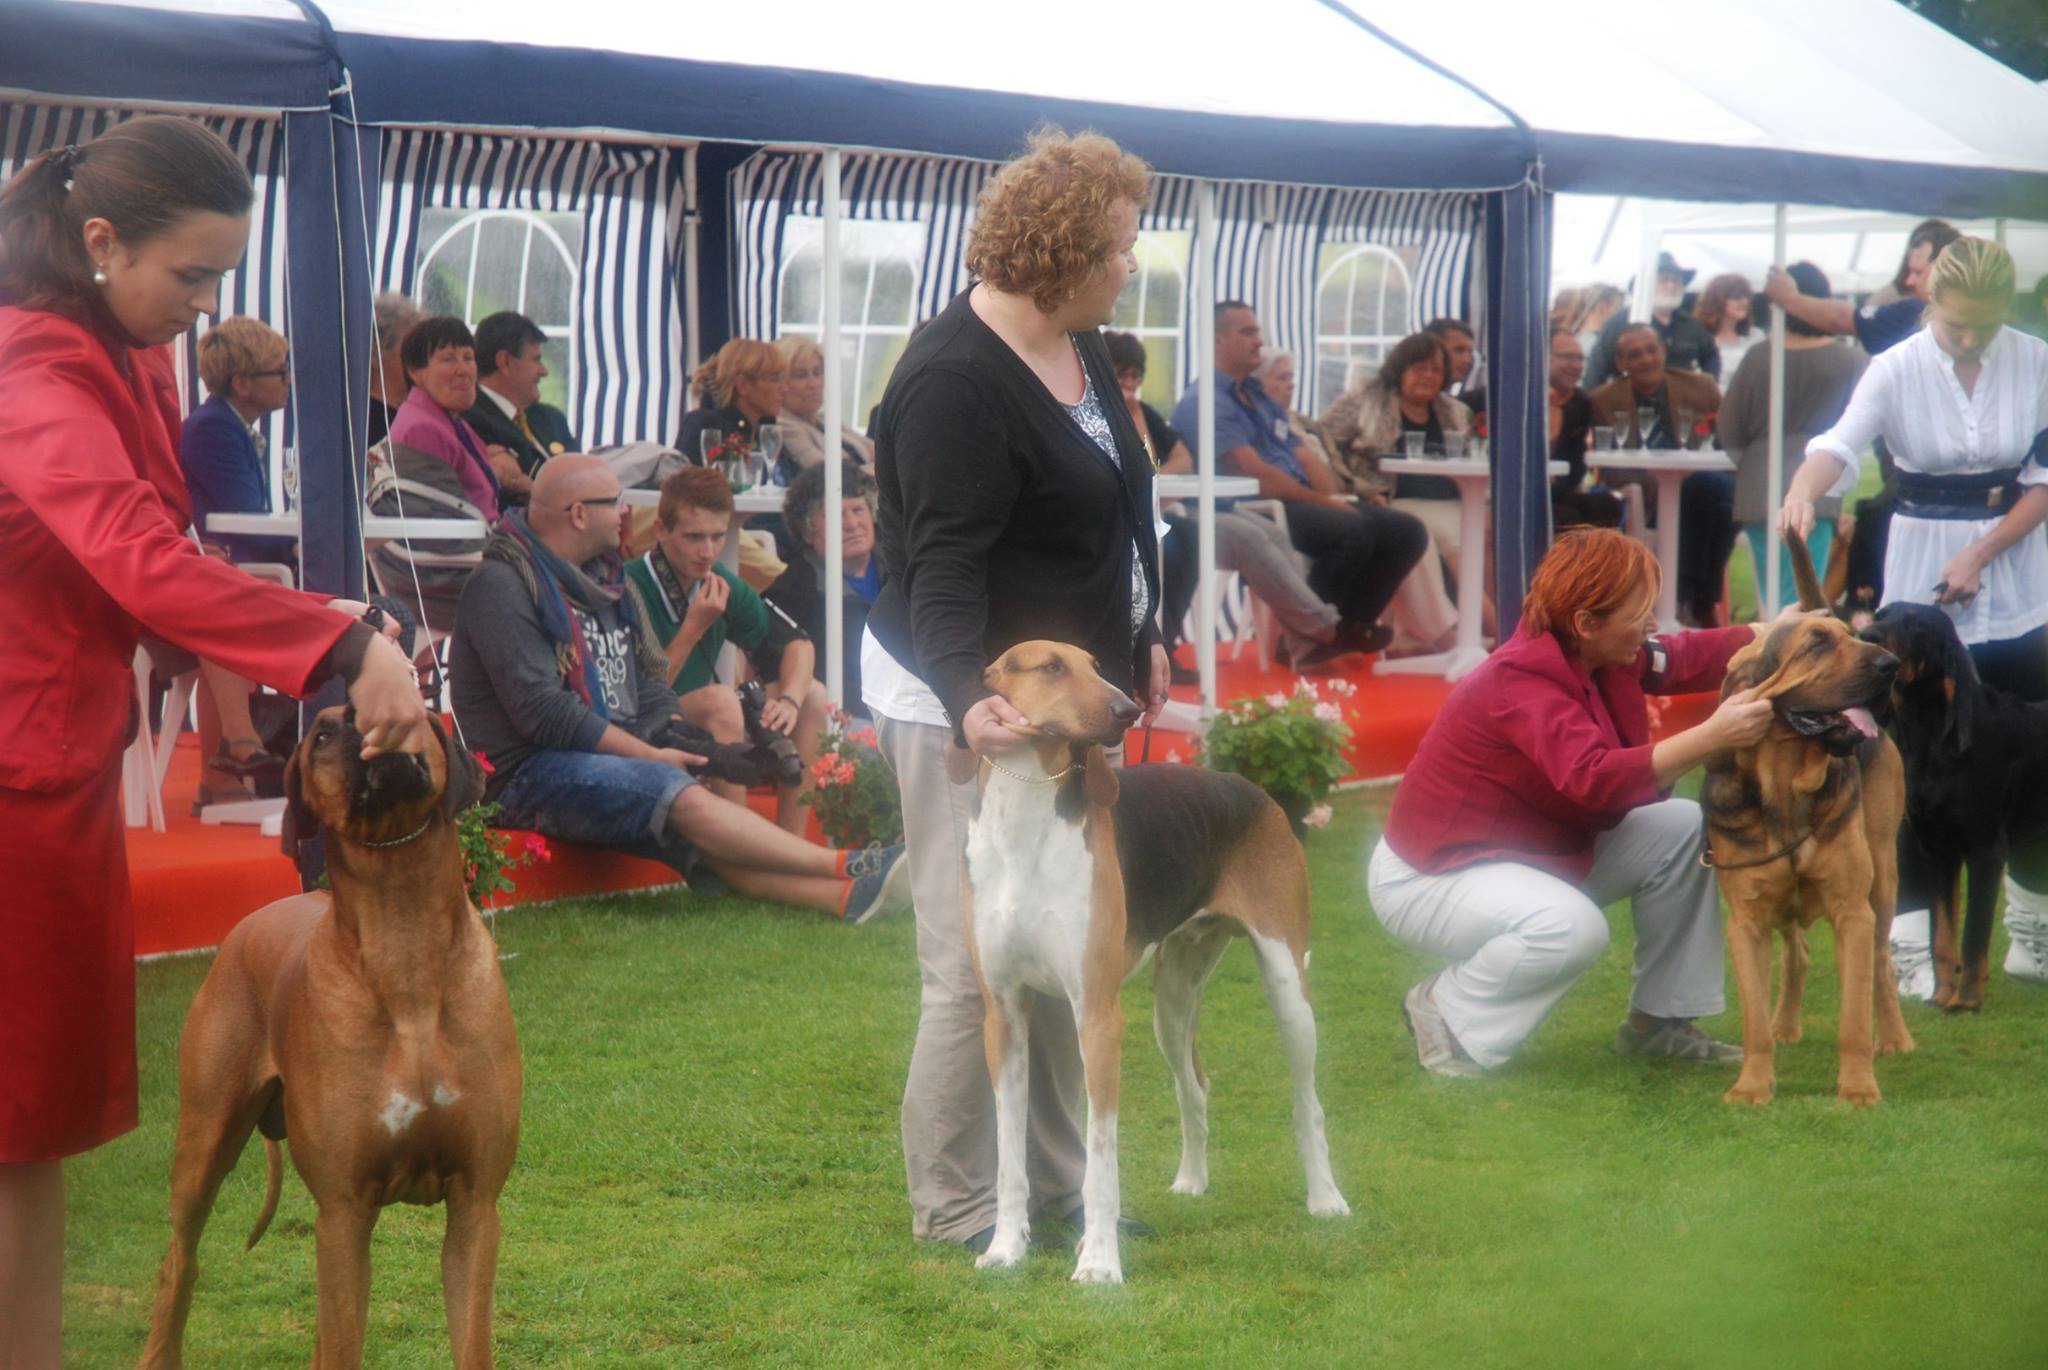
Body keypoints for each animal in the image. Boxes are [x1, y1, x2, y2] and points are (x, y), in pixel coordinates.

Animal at [138, 712, 520, 1359]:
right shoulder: (342, 1215)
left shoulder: (476, 1204)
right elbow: (341, 1343)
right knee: (178, 1261)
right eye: (319, 734)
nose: (370, 724)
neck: (404, 941)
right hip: (204, 1140)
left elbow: (471, 1341)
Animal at [954, 643, 1343, 1286]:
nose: (1128, 709)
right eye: (1051, 666)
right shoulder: (1003, 1017)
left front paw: (1099, 1264)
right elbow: (1009, 1155)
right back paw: (1192, 1180)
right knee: (1196, 1087)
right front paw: (1007, 1248)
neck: (1027, 813)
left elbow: (1100, 1158)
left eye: (1094, 663)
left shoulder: (1098, 1019)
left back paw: (1327, 1200)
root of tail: (1252, 788)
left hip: (1288, 987)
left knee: (1307, 1102)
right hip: (1173, 1002)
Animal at [1703, 540, 1908, 1105]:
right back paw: (1785, 1026)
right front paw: (1752, 1087)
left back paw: (1895, 1038)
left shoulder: (1853, 912)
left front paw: (1857, 1090)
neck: (1785, 788)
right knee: (1797, 952)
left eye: (1851, 637)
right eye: (1815, 644)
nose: (1890, 663)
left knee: (1881, 964)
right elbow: (1751, 1019)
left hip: (1883, 880)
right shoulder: (1745, 921)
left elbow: (1853, 1018)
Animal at [1859, 597, 2048, 1003]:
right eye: (1881, 614)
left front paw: (1967, 1001)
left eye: (1917, 625)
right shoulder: (1938, 850)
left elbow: (1973, 938)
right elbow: (1942, 937)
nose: (1866, 635)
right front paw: (1942, 997)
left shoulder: (1984, 852)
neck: (1929, 738)